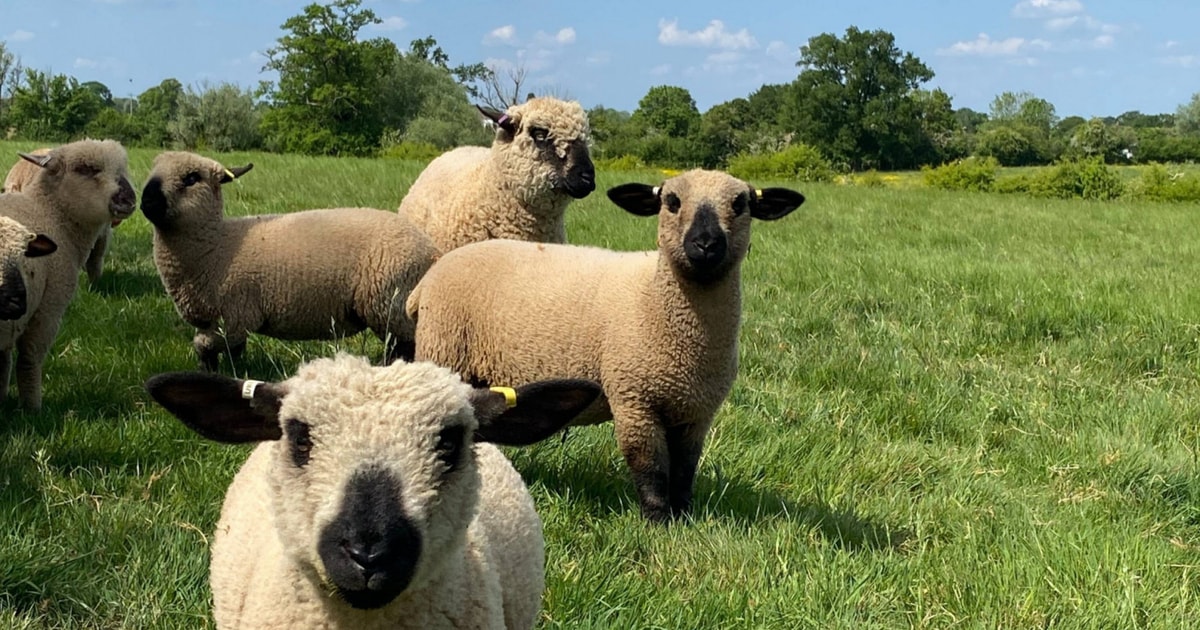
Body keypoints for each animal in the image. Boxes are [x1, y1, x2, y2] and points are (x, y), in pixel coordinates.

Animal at [140, 151, 441, 372]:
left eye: (192, 177)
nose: (147, 200)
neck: (215, 245)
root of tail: (432, 250)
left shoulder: (236, 315)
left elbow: (206, 345)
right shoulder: (215, 320)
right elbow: (224, 351)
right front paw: (219, 373)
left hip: (391, 303)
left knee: (404, 347)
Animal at [405, 169, 805, 523]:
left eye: (740, 204)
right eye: (672, 201)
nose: (706, 244)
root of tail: (427, 280)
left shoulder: (696, 411)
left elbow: (684, 470)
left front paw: (685, 517)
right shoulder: (634, 399)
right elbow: (650, 468)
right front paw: (658, 523)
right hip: (445, 349)